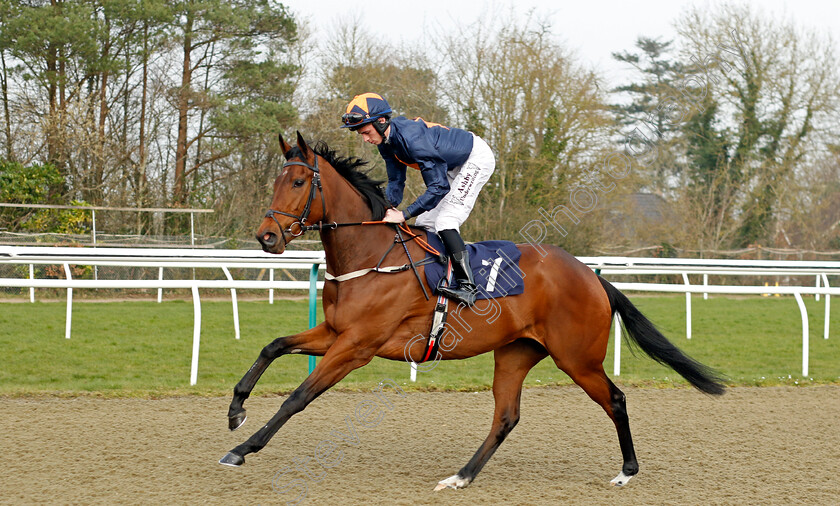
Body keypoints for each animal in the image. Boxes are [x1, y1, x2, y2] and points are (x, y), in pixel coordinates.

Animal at [220, 132, 724, 488]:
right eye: (276, 182)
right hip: (516, 352)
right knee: (506, 417)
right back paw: (460, 476)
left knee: (615, 399)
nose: (267, 236)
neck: (372, 254)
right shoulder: (333, 332)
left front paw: (243, 447)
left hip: (577, 358)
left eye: (298, 182)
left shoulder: (357, 346)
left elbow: (297, 397)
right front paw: (236, 411)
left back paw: (626, 471)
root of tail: (590, 275)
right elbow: (272, 347)